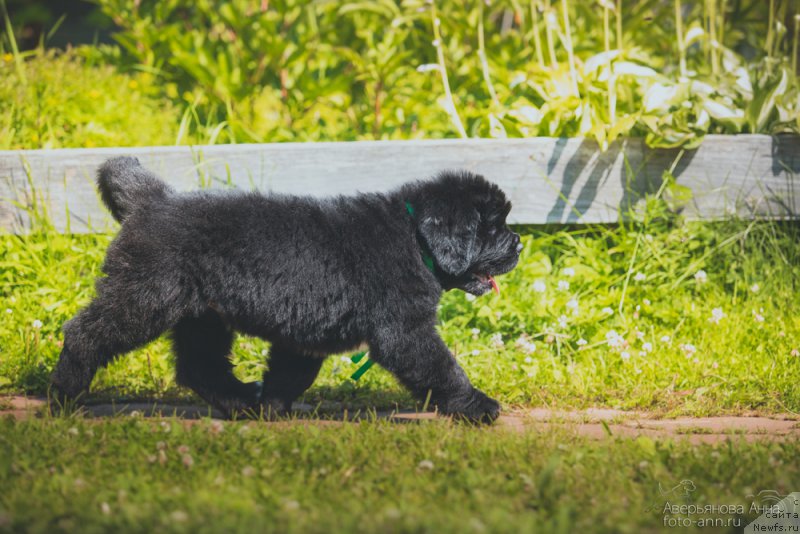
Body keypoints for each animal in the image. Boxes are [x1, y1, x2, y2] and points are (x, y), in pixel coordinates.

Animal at [51, 157, 524, 426]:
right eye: (492, 227)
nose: (519, 244)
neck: (415, 238)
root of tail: (152, 200)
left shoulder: (309, 335)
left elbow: (290, 375)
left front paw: (269, 410)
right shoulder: (405, 332)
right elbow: (443, 368)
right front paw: (478, 406)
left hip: (202, 314)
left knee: (199, 366)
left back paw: (241, 402)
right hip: (145, 295)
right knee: (84, 333)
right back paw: (63, 397)